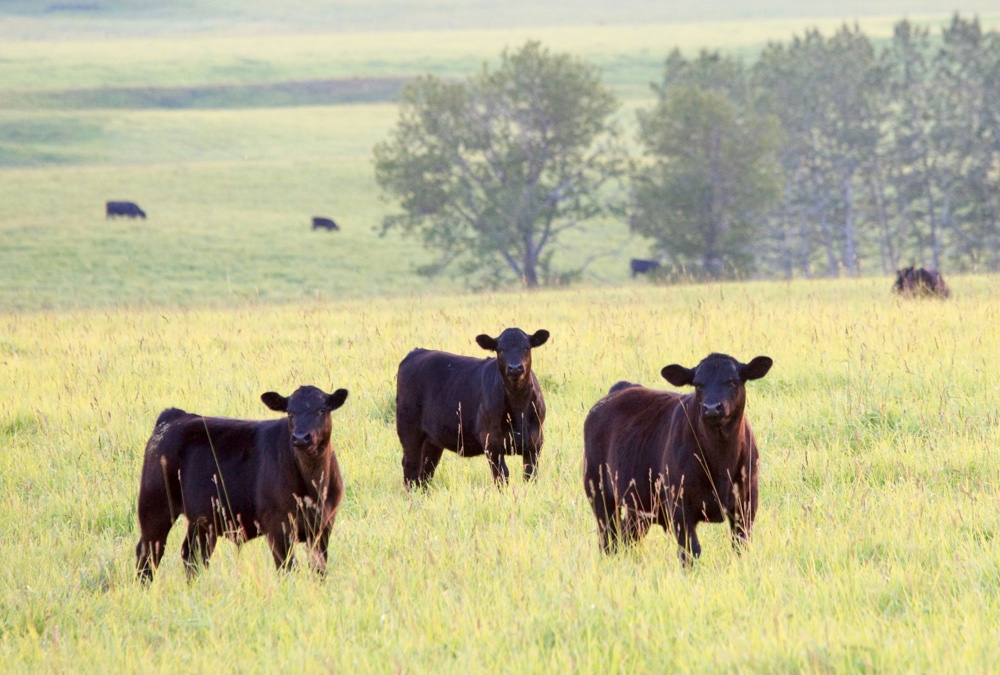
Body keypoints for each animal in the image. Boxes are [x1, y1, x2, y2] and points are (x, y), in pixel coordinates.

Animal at [135, 385, 349, 583]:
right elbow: (287, 568)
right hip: (155, 506)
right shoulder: (277, 525)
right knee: (149, 551)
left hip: (202, 519)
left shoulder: (324, 526)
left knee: (192, 555)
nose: (301, 437)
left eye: (322, 410)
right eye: (290, 412)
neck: (313, 486)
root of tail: (175, 415)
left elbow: (319, 570)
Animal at [395, 328, 549, 488]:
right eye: (500, 350)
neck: (519, 407)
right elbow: (502, 476)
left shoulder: (535, 443)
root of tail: (417, 352)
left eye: (526, 348)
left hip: (432, 440)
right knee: (411, 467)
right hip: (408, 430)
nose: (515, 368)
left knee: (426, 469)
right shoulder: (491, 442)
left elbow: (530, 476)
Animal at [583, 353, 772, 564]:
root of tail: (622, 388)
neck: (721, 461)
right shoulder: (679, 506)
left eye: (732, 381)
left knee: (626, 534)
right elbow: (691, 552)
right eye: (698, 385)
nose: (711, 408)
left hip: (640, 504)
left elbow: (740, 546)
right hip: (598, 490)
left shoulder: (746, 504)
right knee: (609, 538)